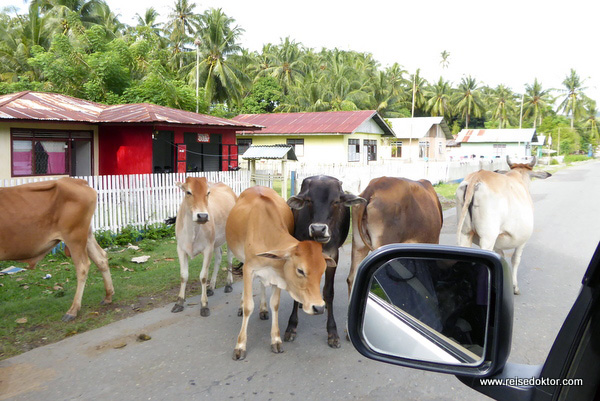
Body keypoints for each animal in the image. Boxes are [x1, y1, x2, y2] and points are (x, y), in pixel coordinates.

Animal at [0, 177, 113, 320]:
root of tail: (77, 181)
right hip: (86, 235)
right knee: (101, 259)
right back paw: (108, 296)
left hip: (74, 237)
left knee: (82, 266)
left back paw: (73, 310)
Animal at [171, 177, 237, 316]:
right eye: (188, 192)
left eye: (208, 193)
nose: (202, 216)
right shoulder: (181, 249)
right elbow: (183, 275)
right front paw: (179, 302)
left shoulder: (207, 249)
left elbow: (203, 276)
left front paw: (204, 304)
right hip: (216, 242)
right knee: (218, 257)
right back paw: (211, 287)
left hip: (230, 236)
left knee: (229, 258)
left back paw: (228, 284)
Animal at [226, 185, 336, 360]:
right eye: (300, 270)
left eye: (322, 272)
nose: (318, 308)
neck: (266, 235)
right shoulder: (249, 268)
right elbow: (249, 306)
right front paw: (240, 346)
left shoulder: (277, 274)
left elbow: (275, 304)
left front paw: (275, 340)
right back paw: (242, 305)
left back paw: (263, 309)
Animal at [284, 175, 364, 346]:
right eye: (308, 200)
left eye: (336, 201)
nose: (318, 229)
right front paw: (291, 327)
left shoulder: (333, 256)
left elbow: (329, 292)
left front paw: (332, 332)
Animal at [458, 156, 552, 294]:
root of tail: (478, 176)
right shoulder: (523, 240)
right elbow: (515, 259)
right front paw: (514, 287)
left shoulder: (498, 241)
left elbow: (501, 257)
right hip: (488, 238)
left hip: (465, 234)